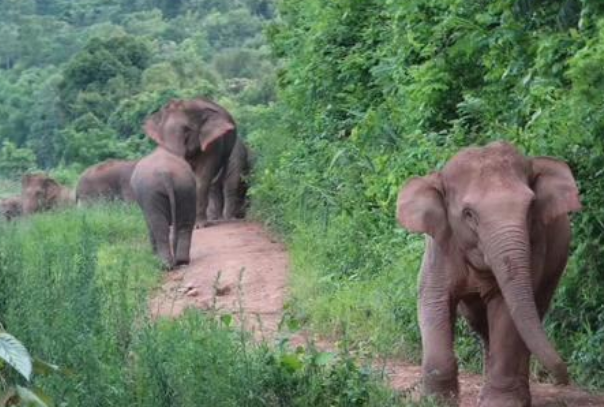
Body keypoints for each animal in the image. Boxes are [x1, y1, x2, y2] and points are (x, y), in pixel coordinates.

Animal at [143, 97, 236, 228]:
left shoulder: (213, 143)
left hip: (228, 150)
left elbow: (202, 179)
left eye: (187, 131)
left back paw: (218, 219)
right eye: (162, 134)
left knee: (216, 179)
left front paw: (199, 225)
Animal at [394, 141, 584, 407]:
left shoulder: (536, 246)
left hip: (555, 265)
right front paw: (437, 401)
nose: (564, 378)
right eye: (468, 214)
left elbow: (506, 310)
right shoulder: (440, 247)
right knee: (480, 323)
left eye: (531, 206)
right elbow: (433, 301)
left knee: (531, 313)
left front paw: (500, 403)